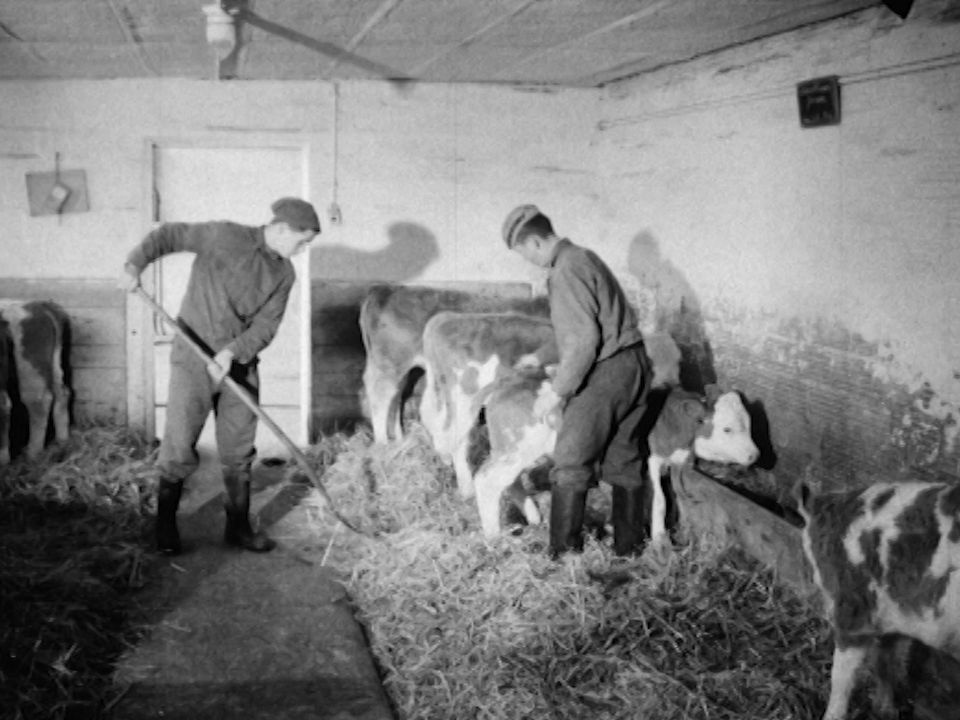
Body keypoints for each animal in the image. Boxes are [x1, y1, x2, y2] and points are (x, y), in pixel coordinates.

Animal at [356, 282, 548, 444]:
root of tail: (385, 288)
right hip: (391, 361)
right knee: (381, 395)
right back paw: (383, 443)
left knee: (395, 394)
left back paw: (399, 439)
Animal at [470, 368, 756, 544]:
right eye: (727, 428)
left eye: (749, 423)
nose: (755, 455)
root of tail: (507, 383)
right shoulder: (648, 461)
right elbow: (659, 500)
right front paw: (659, 540)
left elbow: (675, 498)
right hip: (516, 448)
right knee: (487, 480)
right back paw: (495, 536)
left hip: (515, 452)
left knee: (507, 482)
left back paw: (533, 517)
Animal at [796, 478, 960, 720]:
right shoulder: (889, 616)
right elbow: (884, 661)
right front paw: (886, 711)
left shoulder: (854, 607)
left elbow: (841, 676)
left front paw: (831, 715)